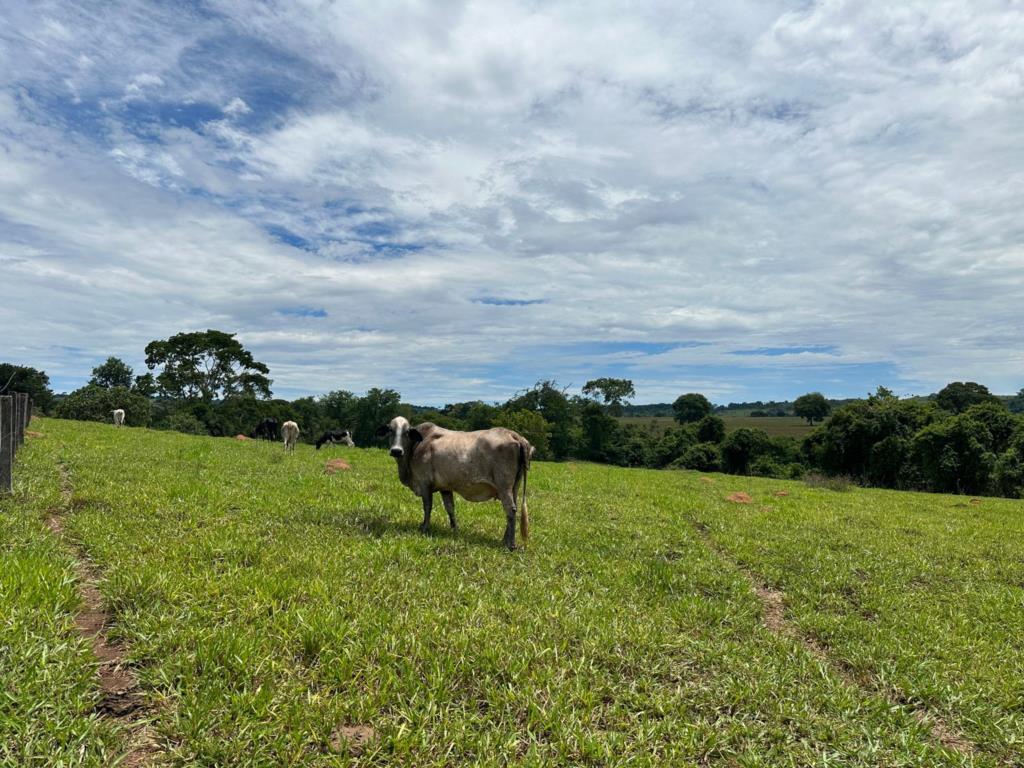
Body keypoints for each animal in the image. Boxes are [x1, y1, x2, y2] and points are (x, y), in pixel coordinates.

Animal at [378, 417, 536, 548]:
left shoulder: (424, 484)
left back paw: (511, 544)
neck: (416, 446)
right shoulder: (445, 487)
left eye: (406, 432)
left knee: (510, 509)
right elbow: (450, 508)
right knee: (513, 510)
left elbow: (427, 507)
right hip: (514, 486)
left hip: (504, 486)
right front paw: (455, 529)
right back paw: (504, 539)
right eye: (390, 430)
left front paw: (424, 527)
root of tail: (513, 434)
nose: (396, 451)